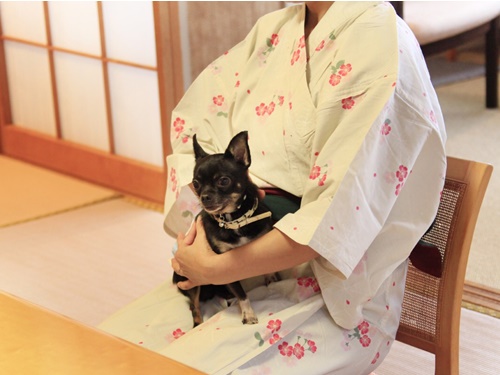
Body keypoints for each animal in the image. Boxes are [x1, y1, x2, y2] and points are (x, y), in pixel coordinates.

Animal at [173, 131, 276, 326]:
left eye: (223, 181)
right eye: (195, 184)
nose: (204, 197)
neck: (234, 219)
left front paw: (270, 276)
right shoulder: (225, 265)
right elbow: (242, 294)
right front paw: (248, 314)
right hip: (192, 282)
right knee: (194, 306)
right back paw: (198, 323)